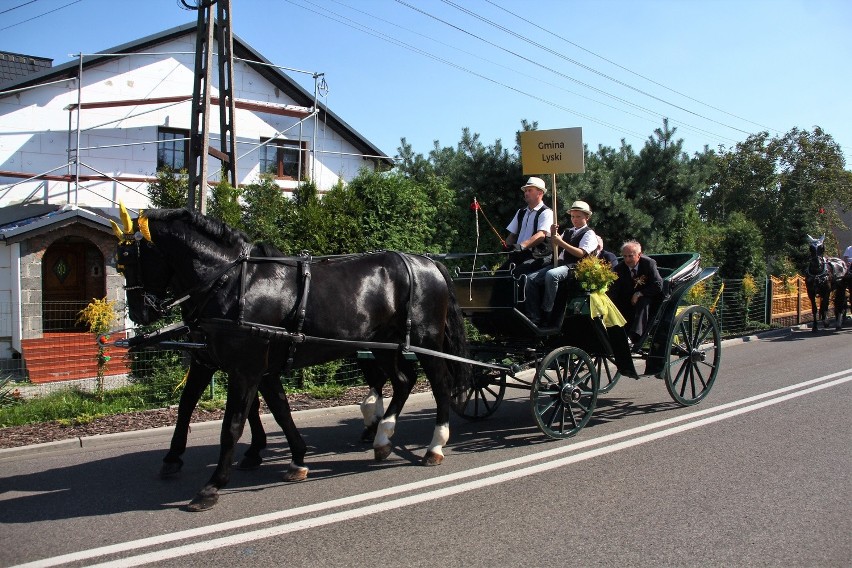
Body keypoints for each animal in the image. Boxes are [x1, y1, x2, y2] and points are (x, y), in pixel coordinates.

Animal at [110, 206, 470, 512]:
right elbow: (231, 409)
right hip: (383, 345)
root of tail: (427, 263)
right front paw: (294, 458)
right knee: (404, 381)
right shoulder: (219, 363)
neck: (231, 282)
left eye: (132, 259)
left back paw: (434, 446)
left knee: (440, 385)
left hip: (425, 342)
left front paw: (212, 486)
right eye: (121, 263)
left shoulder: (246, 368)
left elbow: (233, 424)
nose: (140, 314)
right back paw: (383, 438)